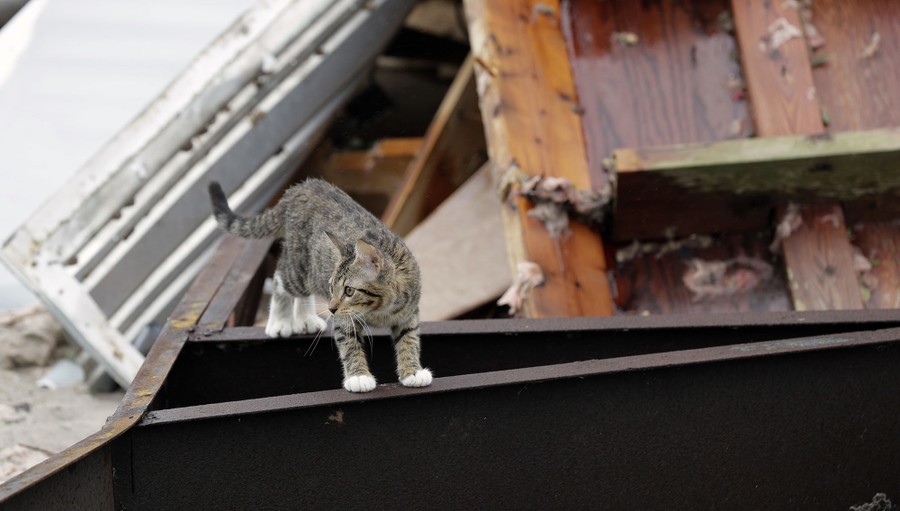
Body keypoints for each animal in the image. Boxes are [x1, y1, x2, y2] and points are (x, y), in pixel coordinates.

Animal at [212, 182, 436, 394]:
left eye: (349, 290)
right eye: (331, 287)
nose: (331, 308)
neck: (380, 309)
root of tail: (301, 187)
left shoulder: (409, 313)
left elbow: (409, 338)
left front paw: (412, 371)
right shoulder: (344, 319)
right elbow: (349, 343)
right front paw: (358, 377)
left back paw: (305, 320)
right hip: (300, 269)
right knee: (279, 278)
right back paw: (280, 321)